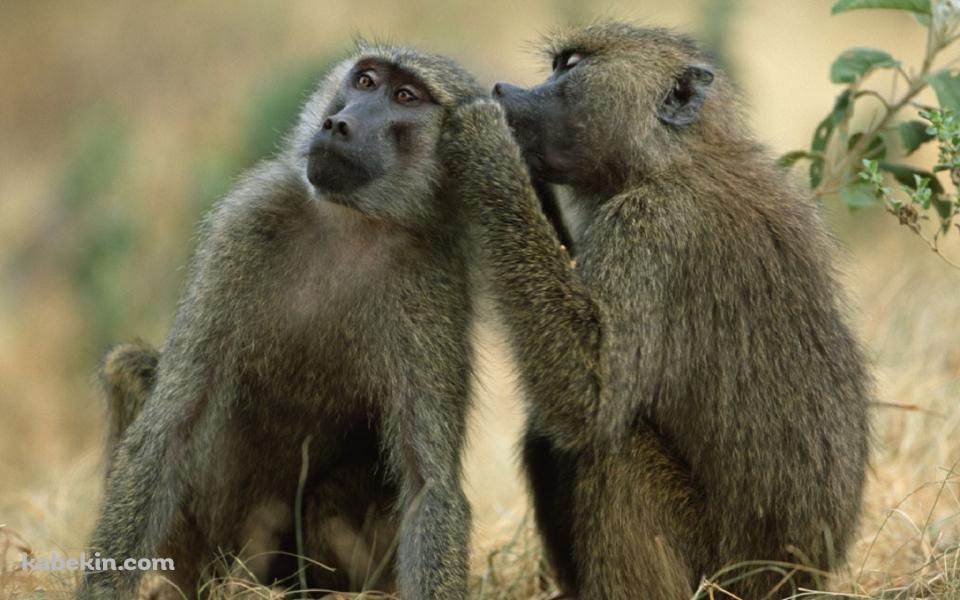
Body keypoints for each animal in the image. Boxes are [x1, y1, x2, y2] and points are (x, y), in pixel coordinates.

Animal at [77, 43, 485, 600]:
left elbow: (429, 486)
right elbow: (168, 428)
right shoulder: (244, 225)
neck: (351, 225)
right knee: (129, 368)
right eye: (364, 81)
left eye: (406, 96)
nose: (338, 124)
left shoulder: (435, 284)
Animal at [441, 22, 872, 599]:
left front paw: (487, 143)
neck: (671, 159)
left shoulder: (653, 229)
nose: (504, 90)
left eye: (570, 66)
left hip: (718, 572)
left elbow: (591, 396)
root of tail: (799, 579)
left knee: (612, 448)